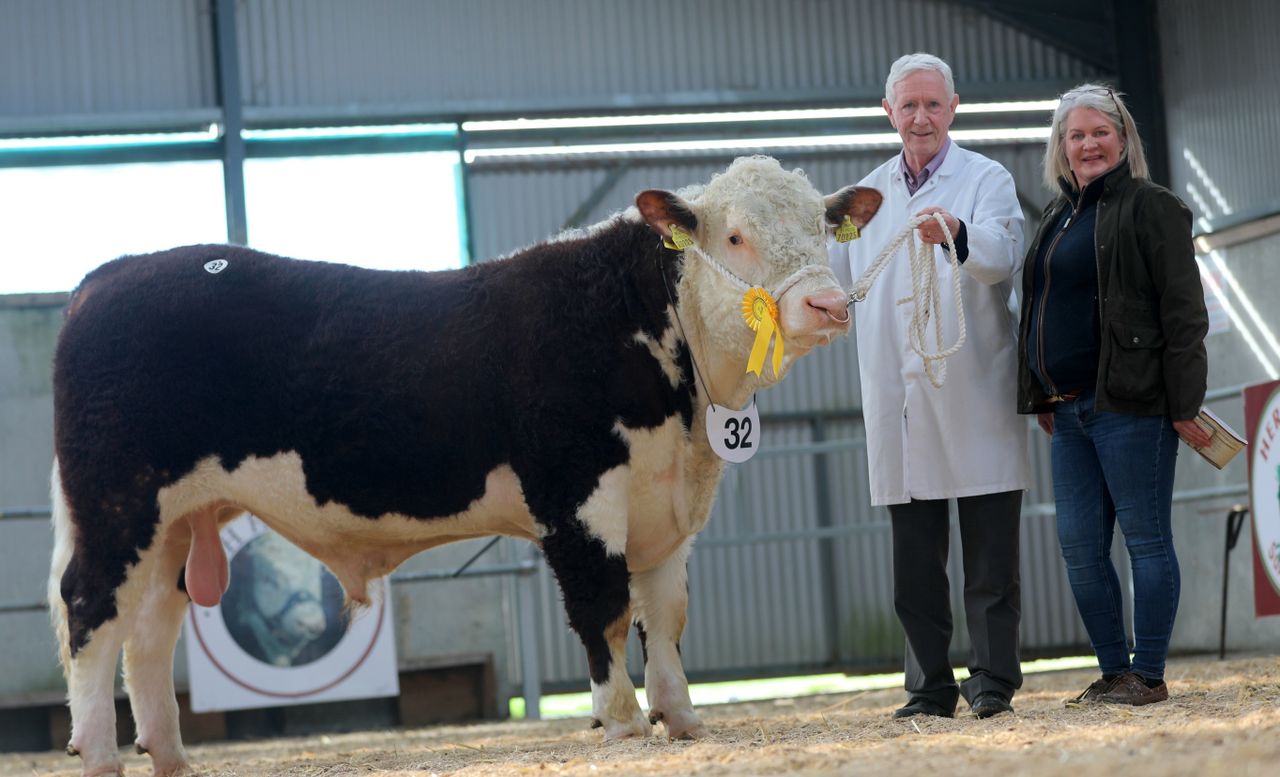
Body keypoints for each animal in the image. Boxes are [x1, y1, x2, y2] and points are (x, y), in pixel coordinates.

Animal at [48, 155, 882, 776]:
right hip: (117, 502)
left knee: (149, 629)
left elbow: (665, 616)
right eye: (736, 236)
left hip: (175, 520)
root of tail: (104, 280)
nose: (828, 304)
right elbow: (605, 609)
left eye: (821, 228)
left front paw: (680, 718)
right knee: (90, 611)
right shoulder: (577, 500)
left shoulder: (668, 507)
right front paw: (620, 722)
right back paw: (98, 752)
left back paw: (168, 753)